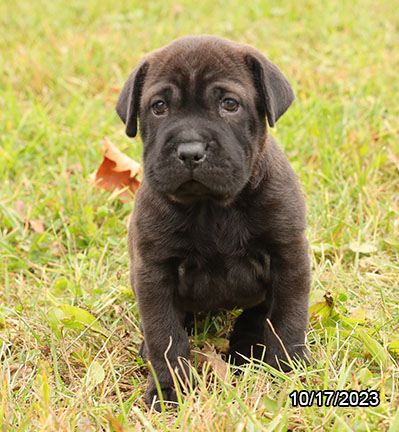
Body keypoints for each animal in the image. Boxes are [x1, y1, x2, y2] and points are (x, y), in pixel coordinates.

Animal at [116, 35, 312, 410]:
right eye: (159, 107)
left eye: (229, 104)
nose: (190, 151)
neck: (212, 208)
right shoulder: (153, 272)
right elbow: (165, 334)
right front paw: (169, 389)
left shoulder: (288, 257)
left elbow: (287, 319)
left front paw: (287, 370)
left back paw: (247, 348)